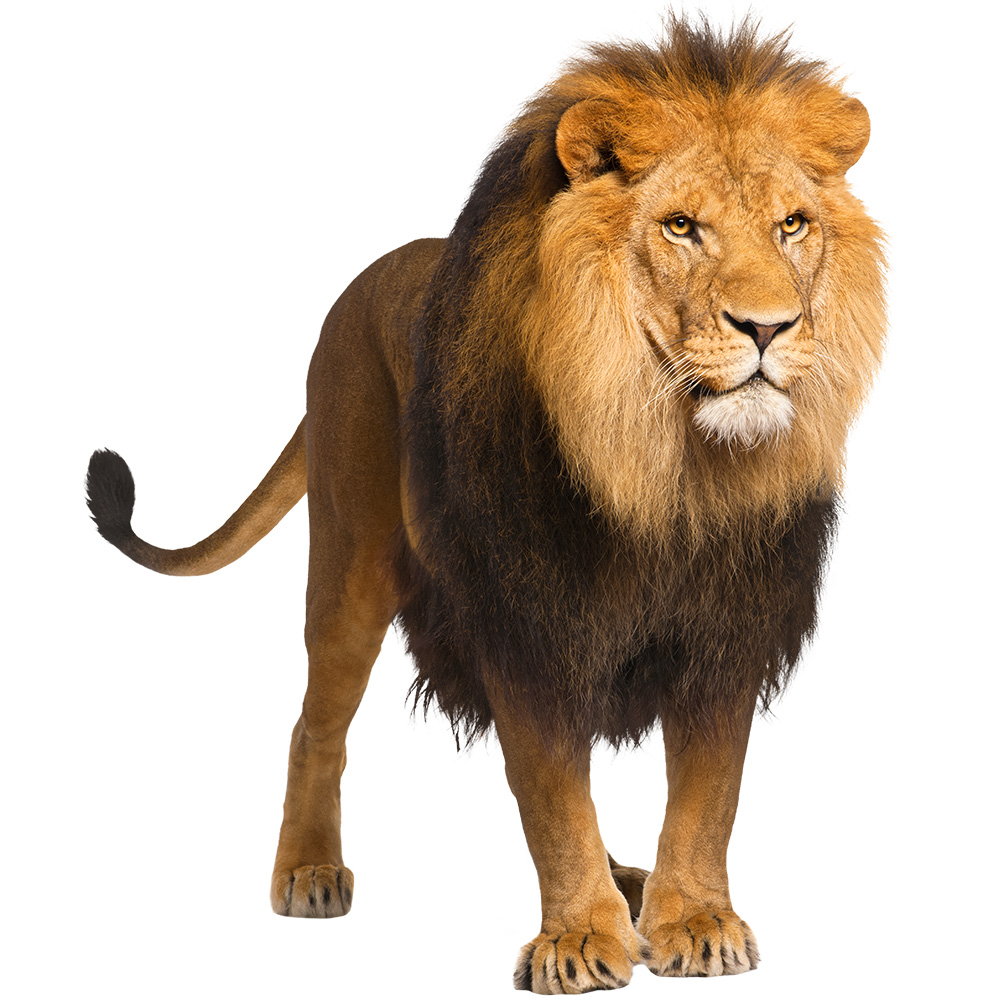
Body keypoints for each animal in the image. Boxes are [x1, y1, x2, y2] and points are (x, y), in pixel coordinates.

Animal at [86, 17, 886, 994]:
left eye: (792, 224)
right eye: (681, 227)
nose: (769, 328)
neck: (665, 466)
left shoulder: (727, 628)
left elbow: (708, 793)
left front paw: (693, 920)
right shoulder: (525, 621)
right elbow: (552, 795)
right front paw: (579, 938)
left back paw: (632, 884)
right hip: (351, 564)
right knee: (316, 723)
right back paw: (309, 870)